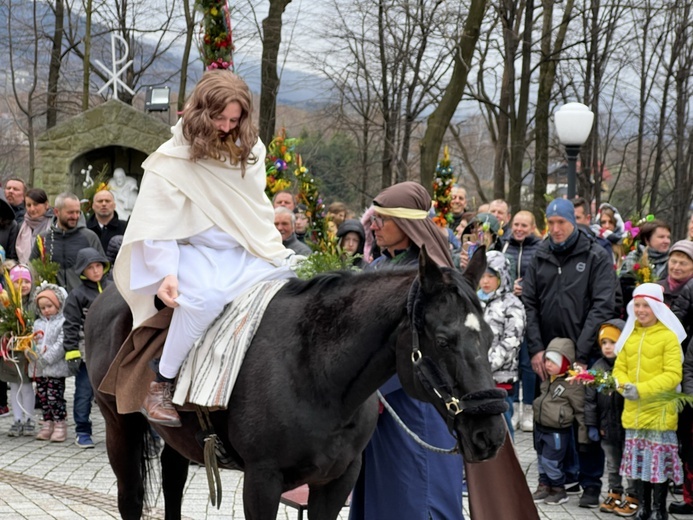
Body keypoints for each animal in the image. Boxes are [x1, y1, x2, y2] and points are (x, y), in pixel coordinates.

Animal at [88, 250, 508, 516]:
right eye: (444, 340)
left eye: (490, 337)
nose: (490, 435)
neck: (316, 373)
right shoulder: (262, 481)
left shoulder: (337, 480)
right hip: (119, 426)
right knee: (130, 498)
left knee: (173, 481)